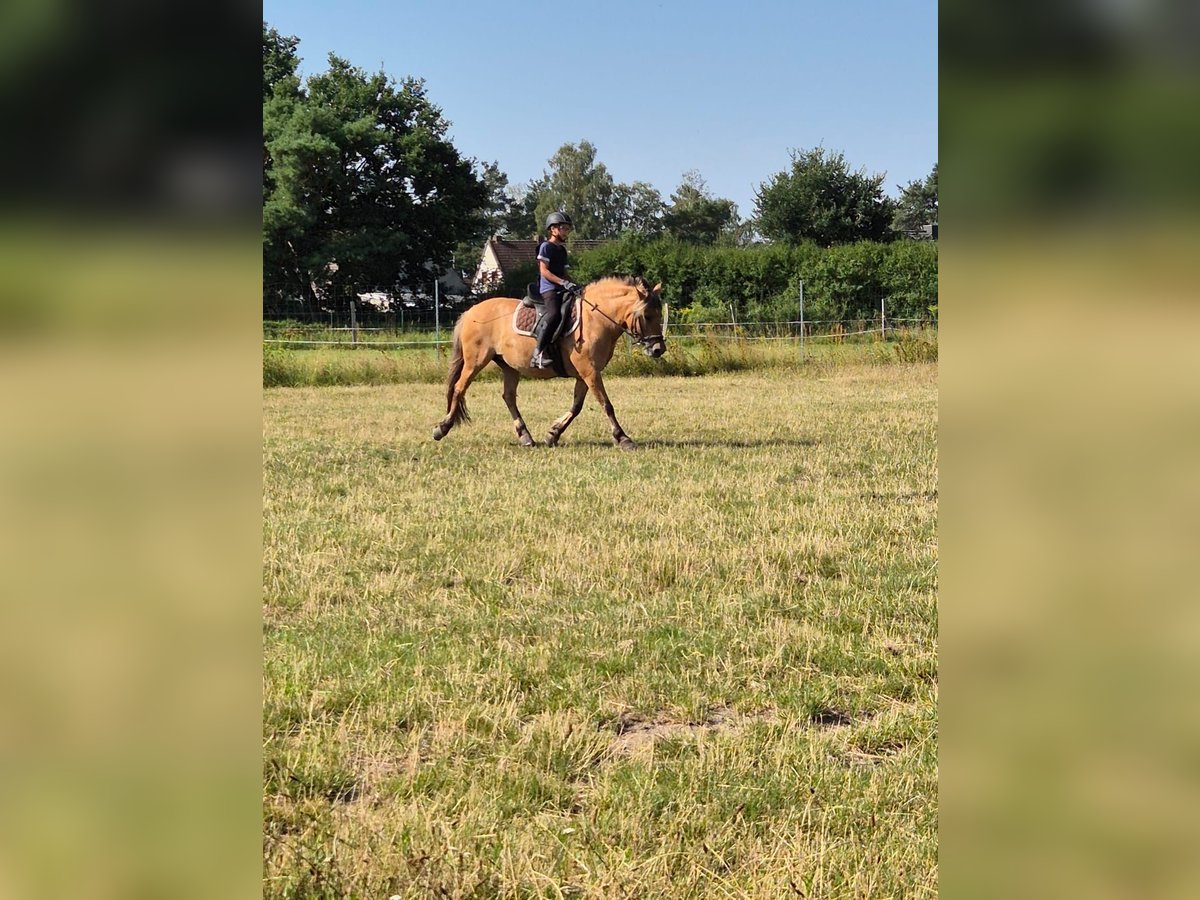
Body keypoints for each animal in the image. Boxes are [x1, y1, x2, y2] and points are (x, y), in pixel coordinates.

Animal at [432, 274, 672, 451]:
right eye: (647, 315)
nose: (658, 349)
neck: (596, 318)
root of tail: (470, 311)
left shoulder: (585, 373)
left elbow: (577, 407)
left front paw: (553, 434)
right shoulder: (590, 371)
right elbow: (606, 404)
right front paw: (623, 438)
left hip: (509, 367)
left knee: (508, 397)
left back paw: (526, 437)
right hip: (475, 362)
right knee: (459, 388)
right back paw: (442, 428)